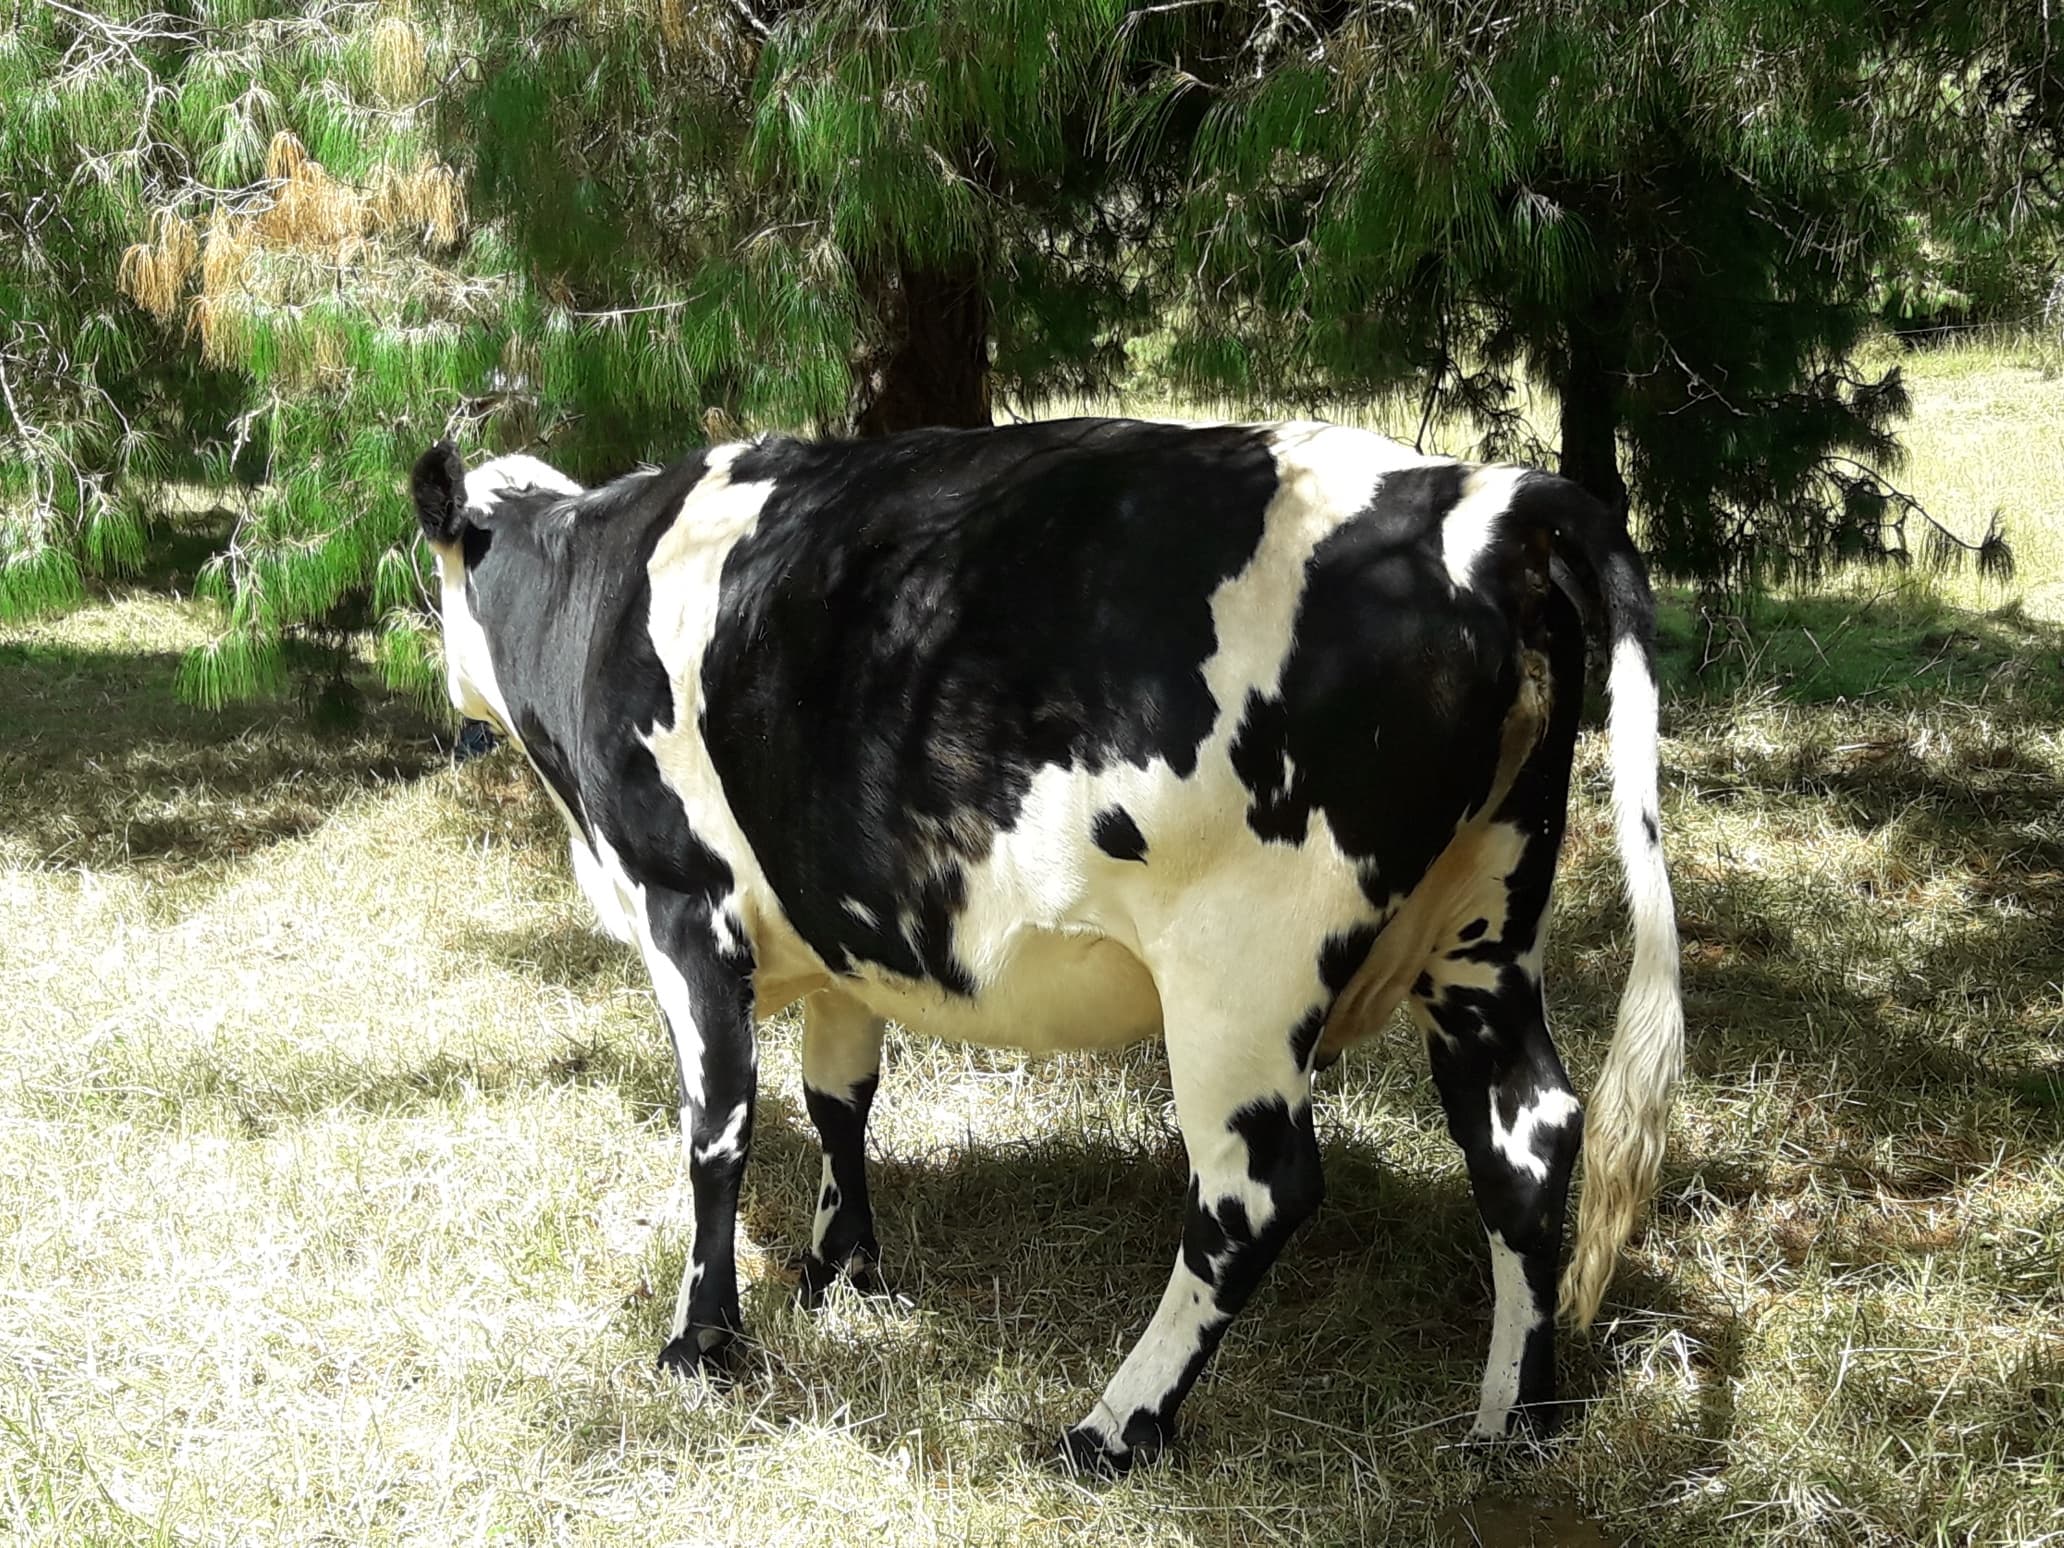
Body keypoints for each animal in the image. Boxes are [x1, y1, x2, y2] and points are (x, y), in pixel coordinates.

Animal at [408, 417, 1683, 1472]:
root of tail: (1483, 497)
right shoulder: (842, 930)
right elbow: (839, 1098)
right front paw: (842, 1273)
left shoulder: (684, 909)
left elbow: (718, 1130)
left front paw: (701, 1340)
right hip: (1485, 928)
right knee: (1525, 1139)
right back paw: (1515, 1419)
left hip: (1243, 969)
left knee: (1255, 1191)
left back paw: (1115, 1425)